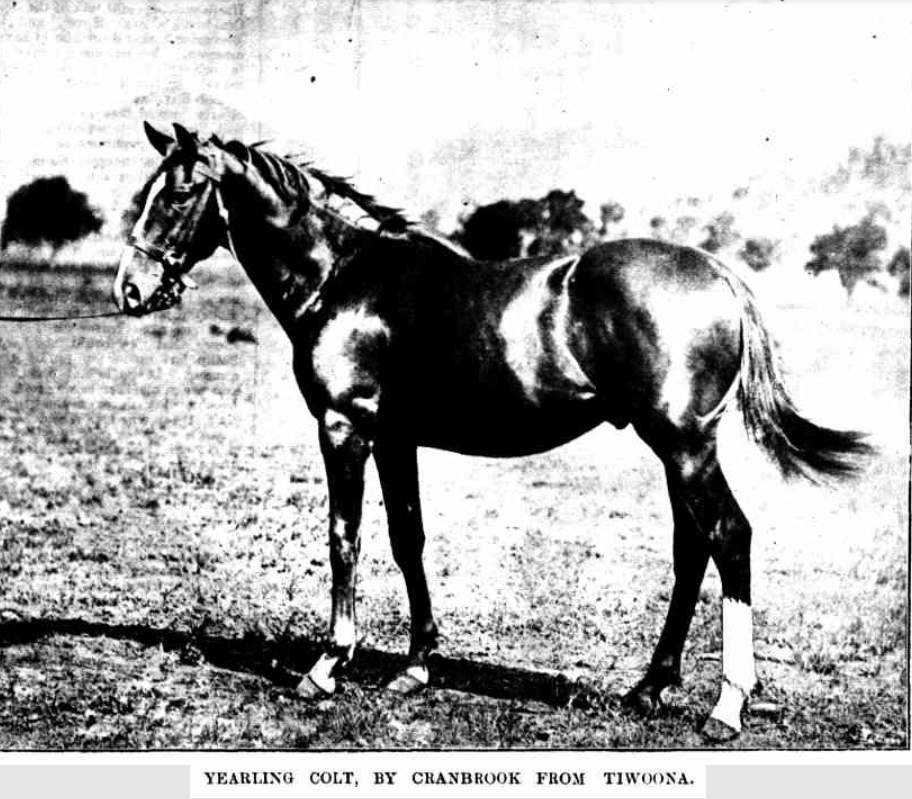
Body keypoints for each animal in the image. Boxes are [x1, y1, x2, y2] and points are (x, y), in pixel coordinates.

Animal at [114, 122, 868, 740]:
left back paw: (727, 704)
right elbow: (407, 539)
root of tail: (718, 274)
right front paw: (416, 666)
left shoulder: (345, 428)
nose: (131, 287)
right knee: (692, 549)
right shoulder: (396, 438)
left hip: (684, 445)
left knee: (729, 537)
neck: (343, 280)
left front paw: (327, 665)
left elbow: (344, 538)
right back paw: (648, 689)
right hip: (676, 449)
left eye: (178, 194)